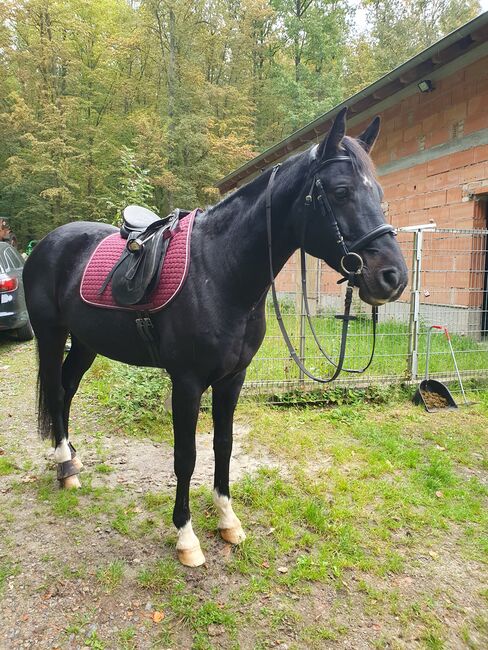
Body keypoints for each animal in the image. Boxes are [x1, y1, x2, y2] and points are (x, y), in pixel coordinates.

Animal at [25, 109, 408, 564]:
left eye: (379, 192)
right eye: (341, 191)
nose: (393, 277)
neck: (220, 272)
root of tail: (47, 241)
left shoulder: (233, 379)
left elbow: (223, 445)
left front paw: (228, 520)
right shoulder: (187, 383)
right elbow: (186, 456)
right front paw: (186, 536)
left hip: (86, 343)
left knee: (66, 388)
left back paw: (72, 460)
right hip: (51, 335)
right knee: (55, 389)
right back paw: (64, 466)